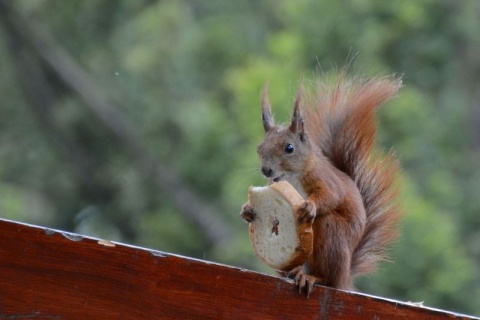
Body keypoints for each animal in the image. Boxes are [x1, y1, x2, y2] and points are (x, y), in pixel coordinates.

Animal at [240, 74, 402, 294]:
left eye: (289, 148)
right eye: (259, 148)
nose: (267, 170)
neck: (291, 176)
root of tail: (345, 277)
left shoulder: (324, 179)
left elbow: (331, 195)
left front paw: (310, 205)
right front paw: (247, 210)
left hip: (331, 235)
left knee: (327, 277)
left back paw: (311, 277)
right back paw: (294, 272)